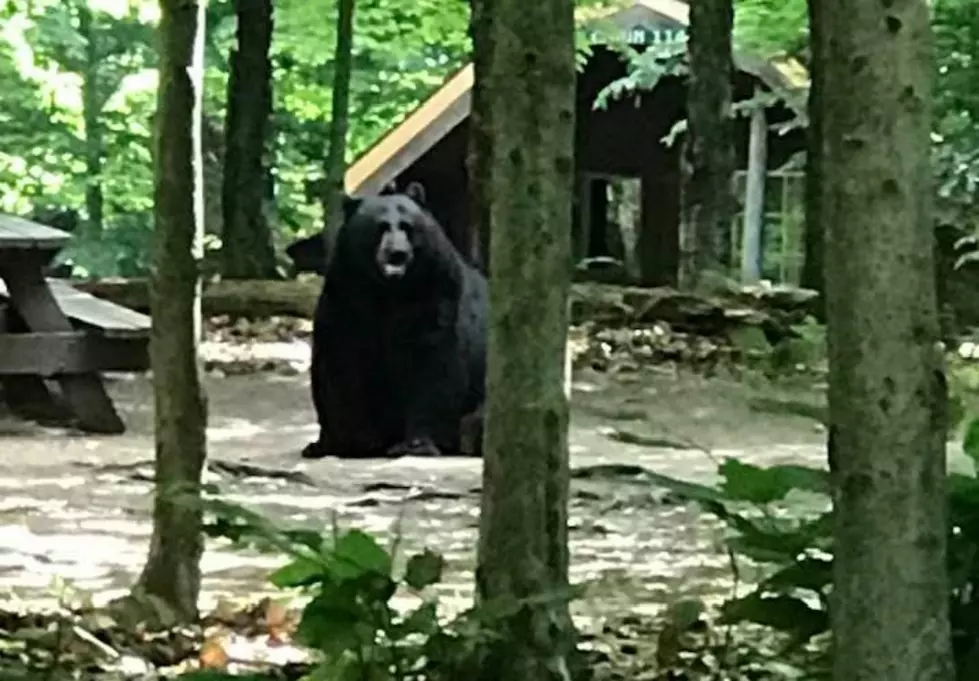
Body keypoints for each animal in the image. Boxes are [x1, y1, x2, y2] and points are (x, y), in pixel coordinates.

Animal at [290, 182, 490, 456]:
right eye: (381, 226)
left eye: (407, 225)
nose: (398, 253)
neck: (389, 292)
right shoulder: (346, 302)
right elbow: (340, 365)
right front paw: (346, 440)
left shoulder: (436, 299)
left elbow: (433, 364)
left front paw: (417, 442)